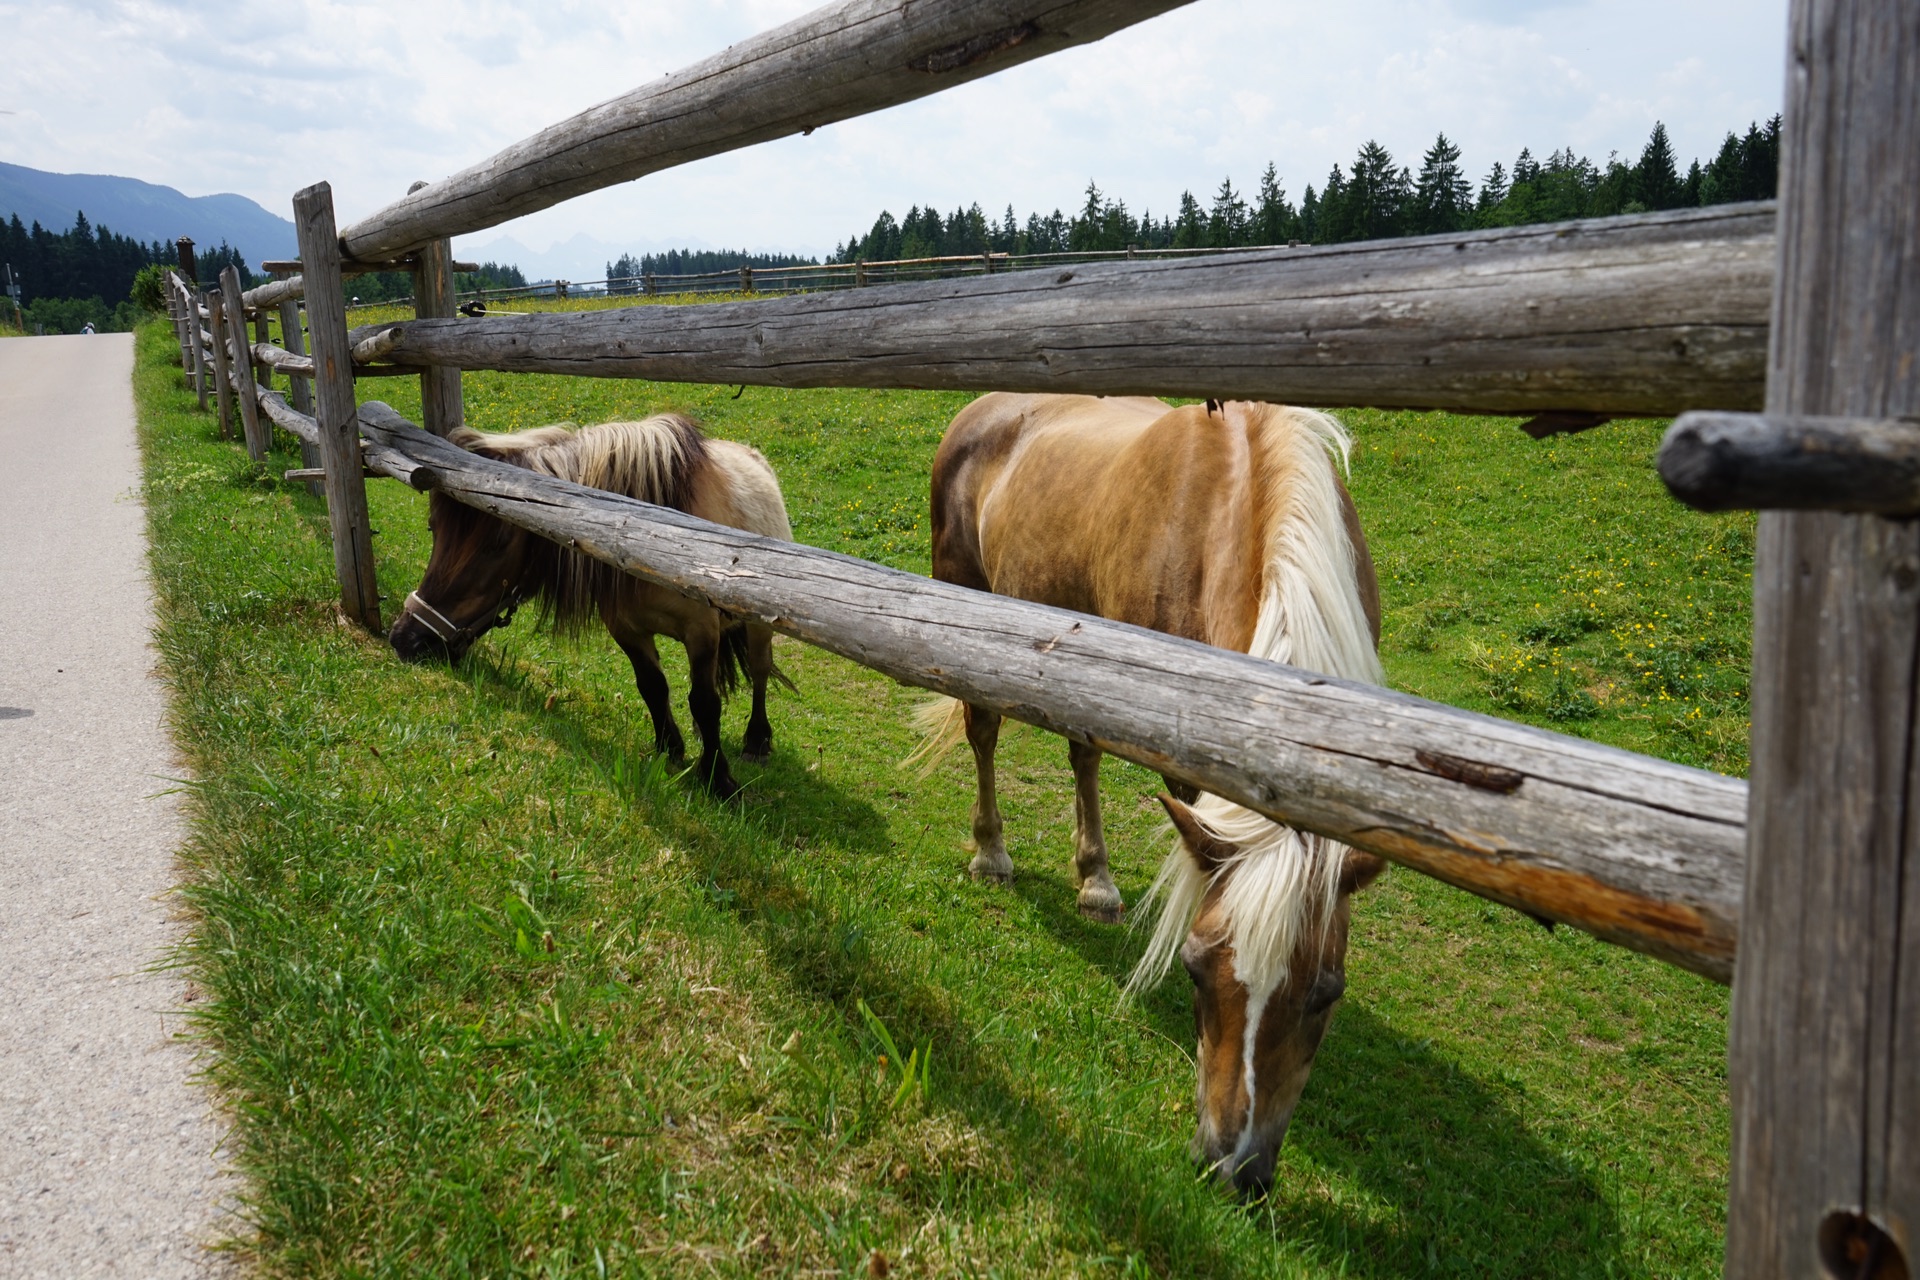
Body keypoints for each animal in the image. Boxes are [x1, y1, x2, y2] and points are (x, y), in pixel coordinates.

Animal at [385, 418, 791, 802]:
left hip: (760, 627)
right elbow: (653, 688)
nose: (406, 639)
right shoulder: (627, 629)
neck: (649, 540)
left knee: (759, 671)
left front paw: (718, 779)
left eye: (495, 544)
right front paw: (669, 748)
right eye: (433, 528)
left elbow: (705, 703)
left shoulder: (701, 632)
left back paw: (757, 740)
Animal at [910, 395, 1382, 1197]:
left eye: (1327, 993)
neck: (1239, 502)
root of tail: (980, 409)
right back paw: (992, 852)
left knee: (1083, 754)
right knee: (984, 730)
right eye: (1196, 971)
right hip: (970, 602)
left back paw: (1095, 879)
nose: (1232, 1166)